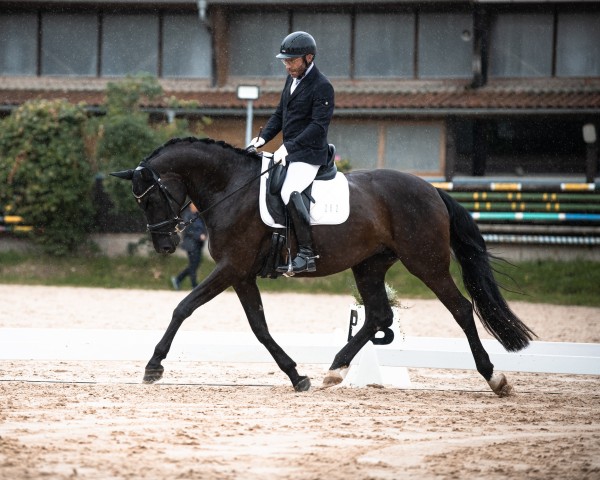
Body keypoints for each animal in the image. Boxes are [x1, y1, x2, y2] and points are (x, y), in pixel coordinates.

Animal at [111, 137, 536, 396]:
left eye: (152, 199)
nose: (165, 245)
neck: (230, 187)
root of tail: (432, 189)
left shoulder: (232, 267)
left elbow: (183, 307)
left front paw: (153, 366)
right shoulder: (243, 274)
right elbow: (260, 328)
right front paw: (297, 376)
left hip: (426, 263)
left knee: (461, 309)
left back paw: (495, 377)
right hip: (369, 265)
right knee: (378, 315)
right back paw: (336, 369)